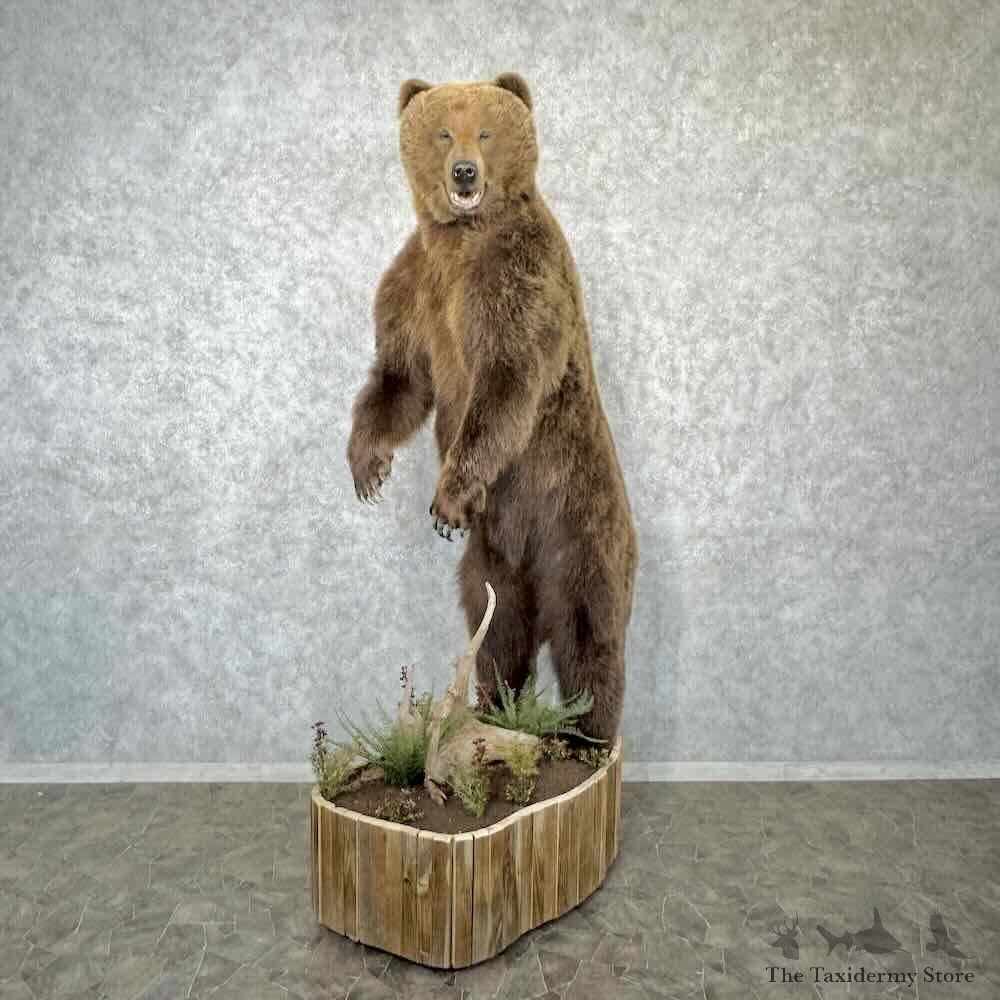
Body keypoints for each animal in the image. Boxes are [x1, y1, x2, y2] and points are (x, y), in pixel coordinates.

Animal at [346, 72, 638, 743]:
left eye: (485, 131)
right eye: (442, 131)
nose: (463, 173)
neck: (463, 240)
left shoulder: (519, 276)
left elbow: (507, 381)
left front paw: (447, 500)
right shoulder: (416, 280)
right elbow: (401, 375)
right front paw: (368, 465)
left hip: (576, 512)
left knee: (588, 627)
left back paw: (586, 732)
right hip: (494, 553)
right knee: (496, 622)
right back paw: (495, 706)